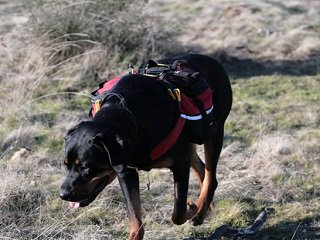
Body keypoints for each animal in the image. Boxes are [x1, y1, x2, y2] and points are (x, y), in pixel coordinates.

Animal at [58, 54, 231, 240]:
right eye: (65, 165)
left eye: (86, 168)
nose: (63, 194)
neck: (130, 116)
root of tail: (212, 61)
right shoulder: (126, 170)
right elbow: (135, 218)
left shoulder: (180, 164)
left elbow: (178, 213)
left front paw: (191, 208)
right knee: (202, 167)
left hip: (214, 133)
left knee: (210, 175)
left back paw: (199, 211)